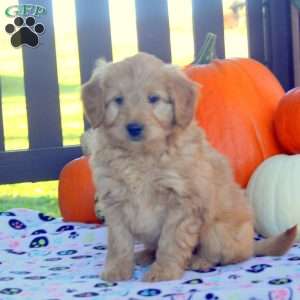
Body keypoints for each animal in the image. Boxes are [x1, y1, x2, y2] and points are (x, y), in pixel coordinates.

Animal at [81, 52, 296, 282]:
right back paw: (145, 254)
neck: (140, 156)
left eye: (153, 99)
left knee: (228, 255)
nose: (134, 128)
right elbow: (118, 241)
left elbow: (170, 242)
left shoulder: (182, 201)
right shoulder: (114, 201)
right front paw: (117, 269)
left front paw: (163, 272)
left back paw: (200, 261)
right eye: (118, 100)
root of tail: (251, 244)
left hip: (217, 230)